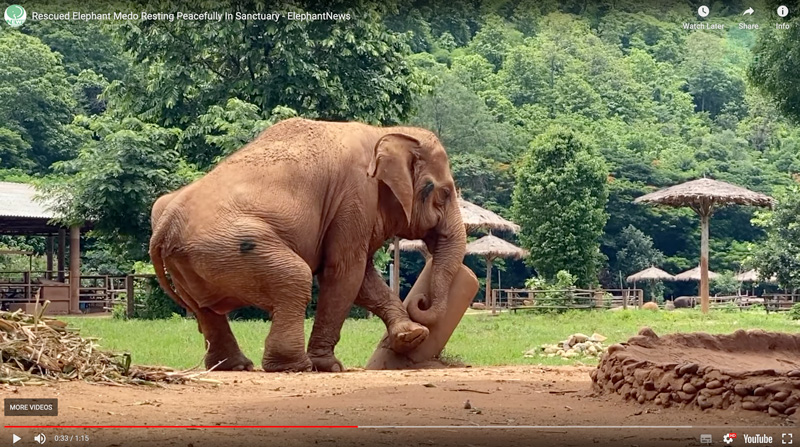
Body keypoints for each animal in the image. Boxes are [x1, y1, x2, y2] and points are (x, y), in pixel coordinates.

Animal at [148, 119, 468, 374]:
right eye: (444, 192)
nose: (421, 301)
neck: (383, 132)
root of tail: (167, 222)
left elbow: (362, 279)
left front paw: (412, 336)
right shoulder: (355, 196)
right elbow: (343, 273)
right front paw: (330, 367)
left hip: (190, 262)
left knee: (205, 310)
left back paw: (236, 366)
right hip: (228, 245)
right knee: (295, 278)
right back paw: (295, 367)